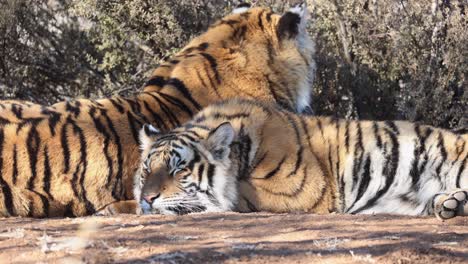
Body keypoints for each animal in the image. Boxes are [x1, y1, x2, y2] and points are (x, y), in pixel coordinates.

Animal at [126, 98, 466, 219]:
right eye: (147, 170)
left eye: (179, 170)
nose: (147, 199)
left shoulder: (304, 189)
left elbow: (238, 195)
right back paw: (450, 203)